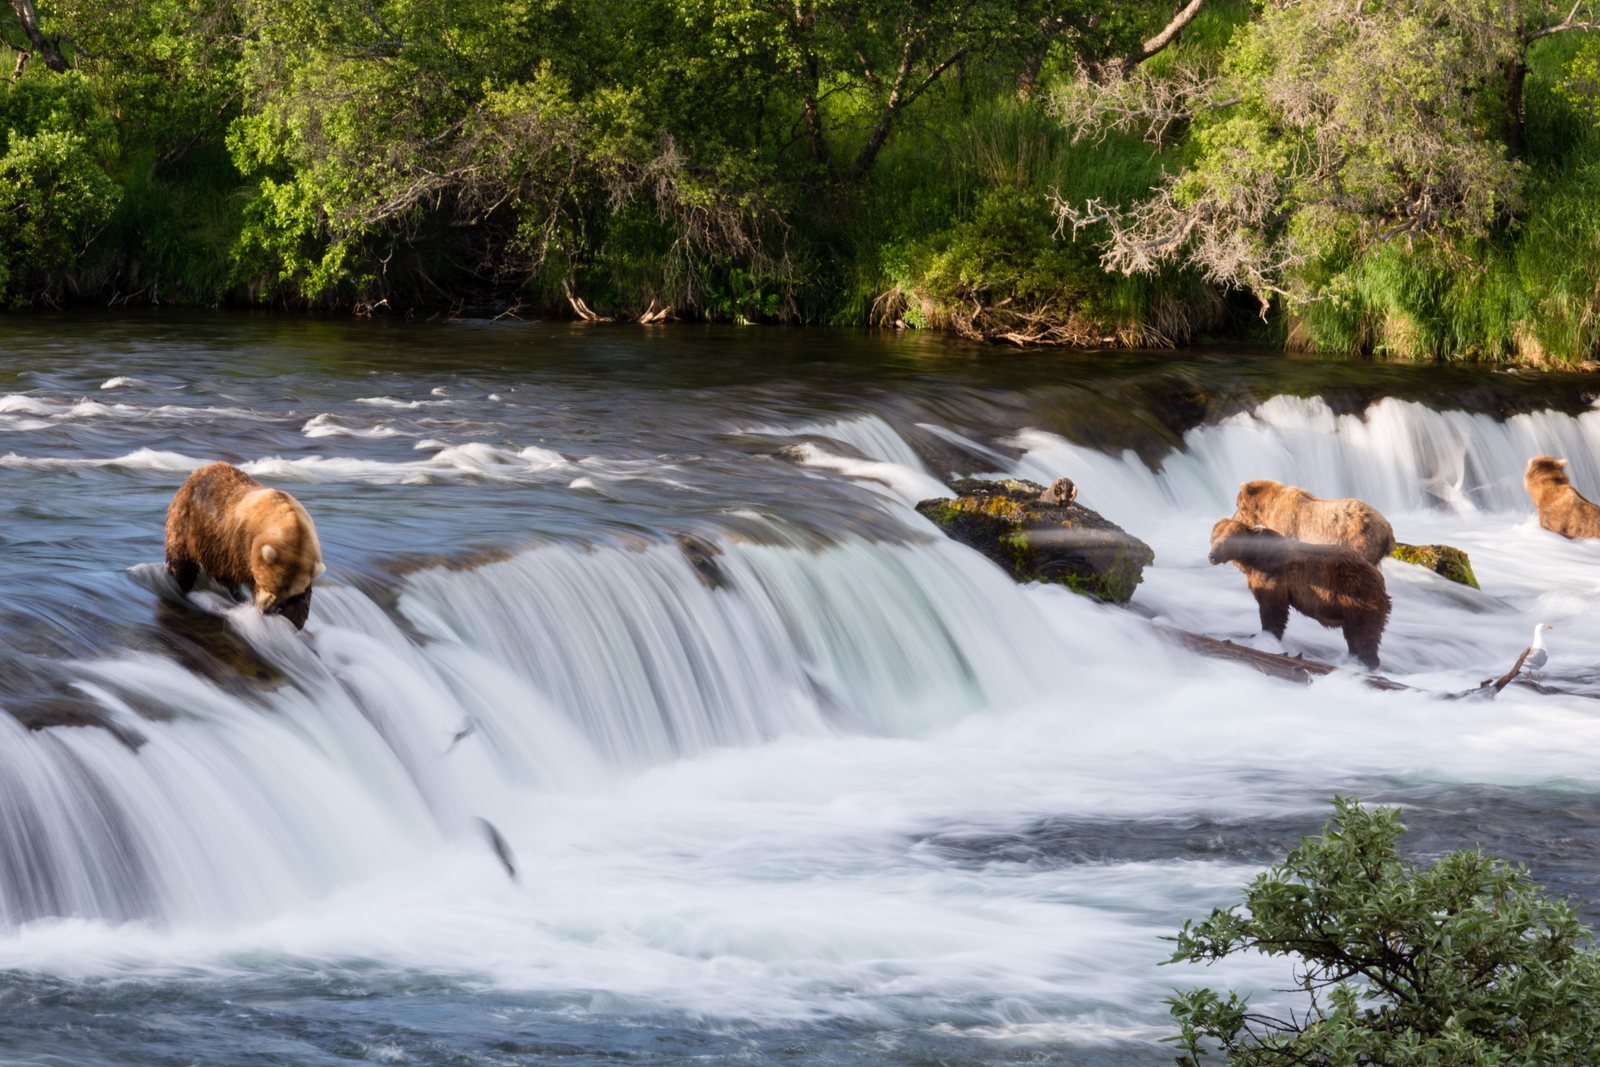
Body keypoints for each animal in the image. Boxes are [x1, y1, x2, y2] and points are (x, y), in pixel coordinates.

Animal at [165, 462, 326, 629]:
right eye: (268, 586)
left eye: (286, 594)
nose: (265, 610)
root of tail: (200, 470)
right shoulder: (241, 545)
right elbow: (239, 574)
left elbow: (304, 597)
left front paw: (295, 617)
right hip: (190, 522)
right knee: (184, 560)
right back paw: (183, 583)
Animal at [1208, 517, 1391, 670]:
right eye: (1213, 537)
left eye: (1226, 540)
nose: (1211, 556)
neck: (1252, 559)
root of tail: (1379, 578)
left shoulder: (1274, 576)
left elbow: (1273, 609)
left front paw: (1265, 637)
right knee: (1354, 636)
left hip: (1357, 596)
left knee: (1364, 635)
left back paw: (1367, 663)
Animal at [1233, 479, 1396, 565]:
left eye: (1237, 504)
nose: (1234, 518)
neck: (1269, 508)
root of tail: (1388, 528)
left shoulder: (1287, 524)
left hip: (1361, 539)